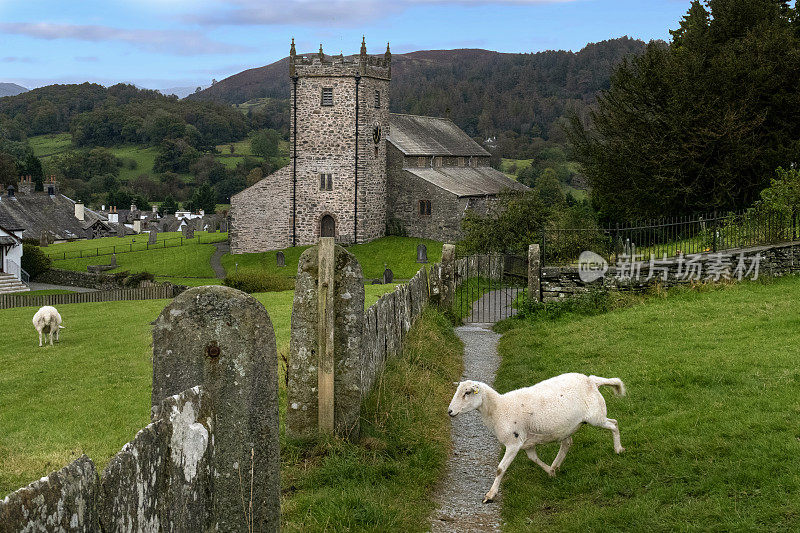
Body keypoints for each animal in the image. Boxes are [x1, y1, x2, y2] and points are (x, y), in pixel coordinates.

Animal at [450, 372, 624, 500]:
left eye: (467, 392)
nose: (449, 411)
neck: (499, 409)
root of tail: (591, 380)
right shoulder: (527, 443)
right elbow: (533, 458)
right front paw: (550, 472)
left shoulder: (513, 443)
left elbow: (500, 469)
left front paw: (490, 495)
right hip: (567, 427)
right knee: (567, 443)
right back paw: (555, 465)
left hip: (596, 416)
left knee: (614, 424)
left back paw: (618, 449)